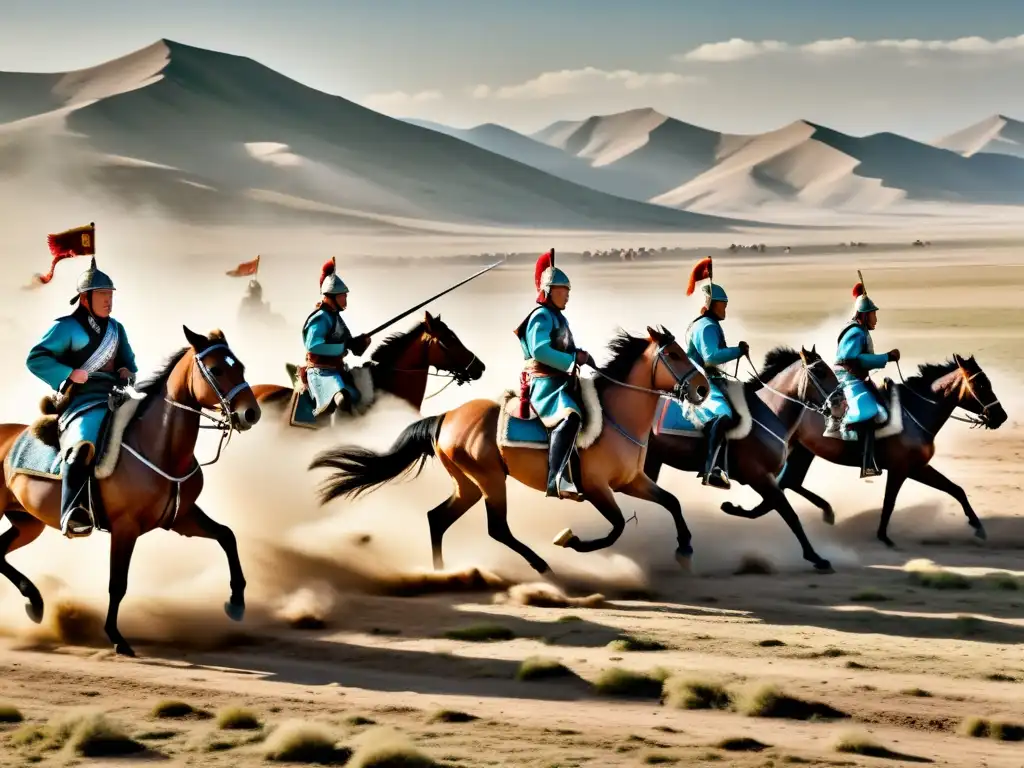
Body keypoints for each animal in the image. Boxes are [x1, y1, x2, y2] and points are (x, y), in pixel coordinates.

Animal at [0, 327, 260, 659]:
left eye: (239, 366)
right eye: (216, 370)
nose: (251, 413)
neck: (158, 447)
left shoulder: (182, 518)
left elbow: (227, 536)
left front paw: (237, 602)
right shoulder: (126, 527)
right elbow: (118, 583)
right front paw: (116, 637)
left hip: (27, 522)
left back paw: (34, 601)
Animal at [311, 327, 712, 573]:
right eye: (676, 355)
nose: (703, 389)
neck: (616, 416)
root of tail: (446, 417)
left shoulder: (633, 481)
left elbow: (672, 502)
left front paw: (685, 549)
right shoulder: (598, 487)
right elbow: (615, 528)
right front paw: (572, 542)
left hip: (469, 485)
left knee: (437, 518)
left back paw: (441, 571)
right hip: (490, 480)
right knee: (497, 529)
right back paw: (541, 565)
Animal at [643, 346, 843, 573]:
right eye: (820, 372)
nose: (841, 401)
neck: (770, 413)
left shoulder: (766, 479)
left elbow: (764, 509)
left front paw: (731, 507)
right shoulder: (758, 476)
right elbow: (789, 514)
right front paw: (816, 557)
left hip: (652, 460)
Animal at [774, 354, 1007, 548]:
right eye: (981, 384)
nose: (1001, 416)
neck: (913, 413)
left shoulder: (917, 467)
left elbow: (955, 489)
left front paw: (978, 527)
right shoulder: (900, 469)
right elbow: (889, 502)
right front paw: (883, 537)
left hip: (803, 452)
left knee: (789, 482)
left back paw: (827, 513)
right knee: (785, 483)